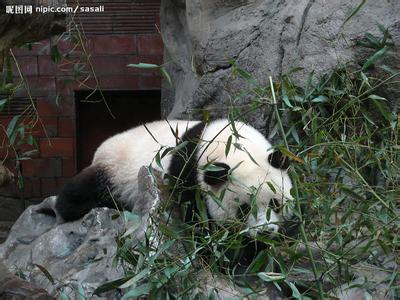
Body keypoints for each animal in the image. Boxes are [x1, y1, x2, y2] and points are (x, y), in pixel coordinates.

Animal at [39, 119, 294, 237]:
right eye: (243, 209)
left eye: (275, 203)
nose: (265, 232)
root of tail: (99, 149)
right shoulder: (186, 172)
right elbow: (197, 219)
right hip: (114, 170)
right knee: (81, 191)